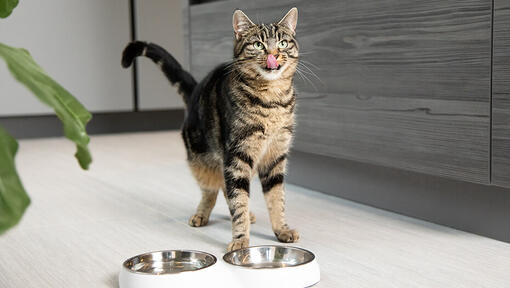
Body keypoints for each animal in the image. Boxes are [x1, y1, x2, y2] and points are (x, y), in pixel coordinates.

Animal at [121, 6, 298, 250]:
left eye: (282, 43)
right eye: (258, 44)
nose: (273, 54)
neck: (271, 101)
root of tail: (195, 90)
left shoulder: (275, 156)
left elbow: (276, 198)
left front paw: (282, 230)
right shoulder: (236, 156)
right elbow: (238, 200)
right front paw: (241, 240)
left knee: (226, 188)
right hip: (201, 160)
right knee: (212, 191)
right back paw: (201, 215)